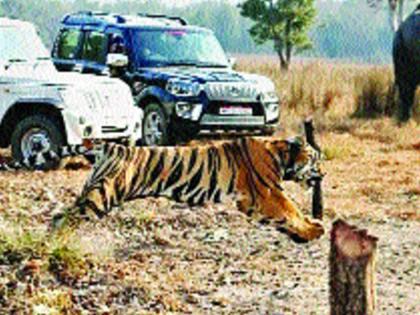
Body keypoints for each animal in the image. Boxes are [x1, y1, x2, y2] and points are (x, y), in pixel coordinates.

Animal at [53, 136, 324, 244]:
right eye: (315, 159)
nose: (323, 174)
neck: (281, 155)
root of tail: (111, 147)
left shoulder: (250, 203)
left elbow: (283, 220)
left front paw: (303, 233)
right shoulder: (269, 193)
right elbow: (292, 210)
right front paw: (314, 229)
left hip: (93, 190)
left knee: (59, 215)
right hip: (101, 197)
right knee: (68, 218)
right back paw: (57, 243)